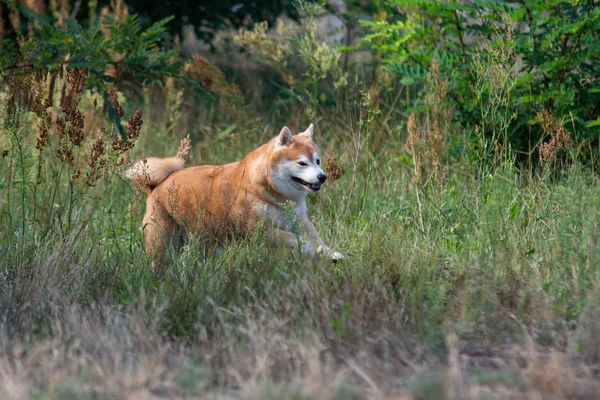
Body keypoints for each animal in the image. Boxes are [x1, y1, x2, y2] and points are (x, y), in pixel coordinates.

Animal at [126, 123, 342, 270]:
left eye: (318, 161)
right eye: (302, 163)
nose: (323, 177)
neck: (266, 191)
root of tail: (155, 186)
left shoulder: (300, 222)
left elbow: (316, 239)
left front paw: (331, 254)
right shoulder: (259, 230)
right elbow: (295, 239)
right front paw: (310, 249)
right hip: (163, 243)